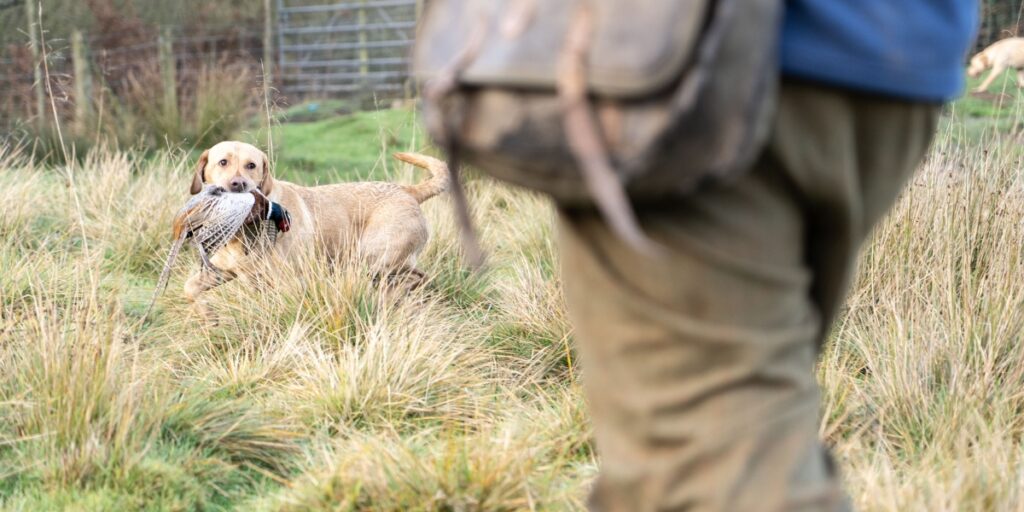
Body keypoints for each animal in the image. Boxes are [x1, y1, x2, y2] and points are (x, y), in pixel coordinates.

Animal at [185, 140, 448, 315]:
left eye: (252, 165)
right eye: (223, 162)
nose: (238, 184)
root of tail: (407, 190)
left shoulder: (290, 282)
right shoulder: (221, 271)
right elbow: (190, 289)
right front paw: (206, 316)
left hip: (373, 256)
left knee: (416, 277)